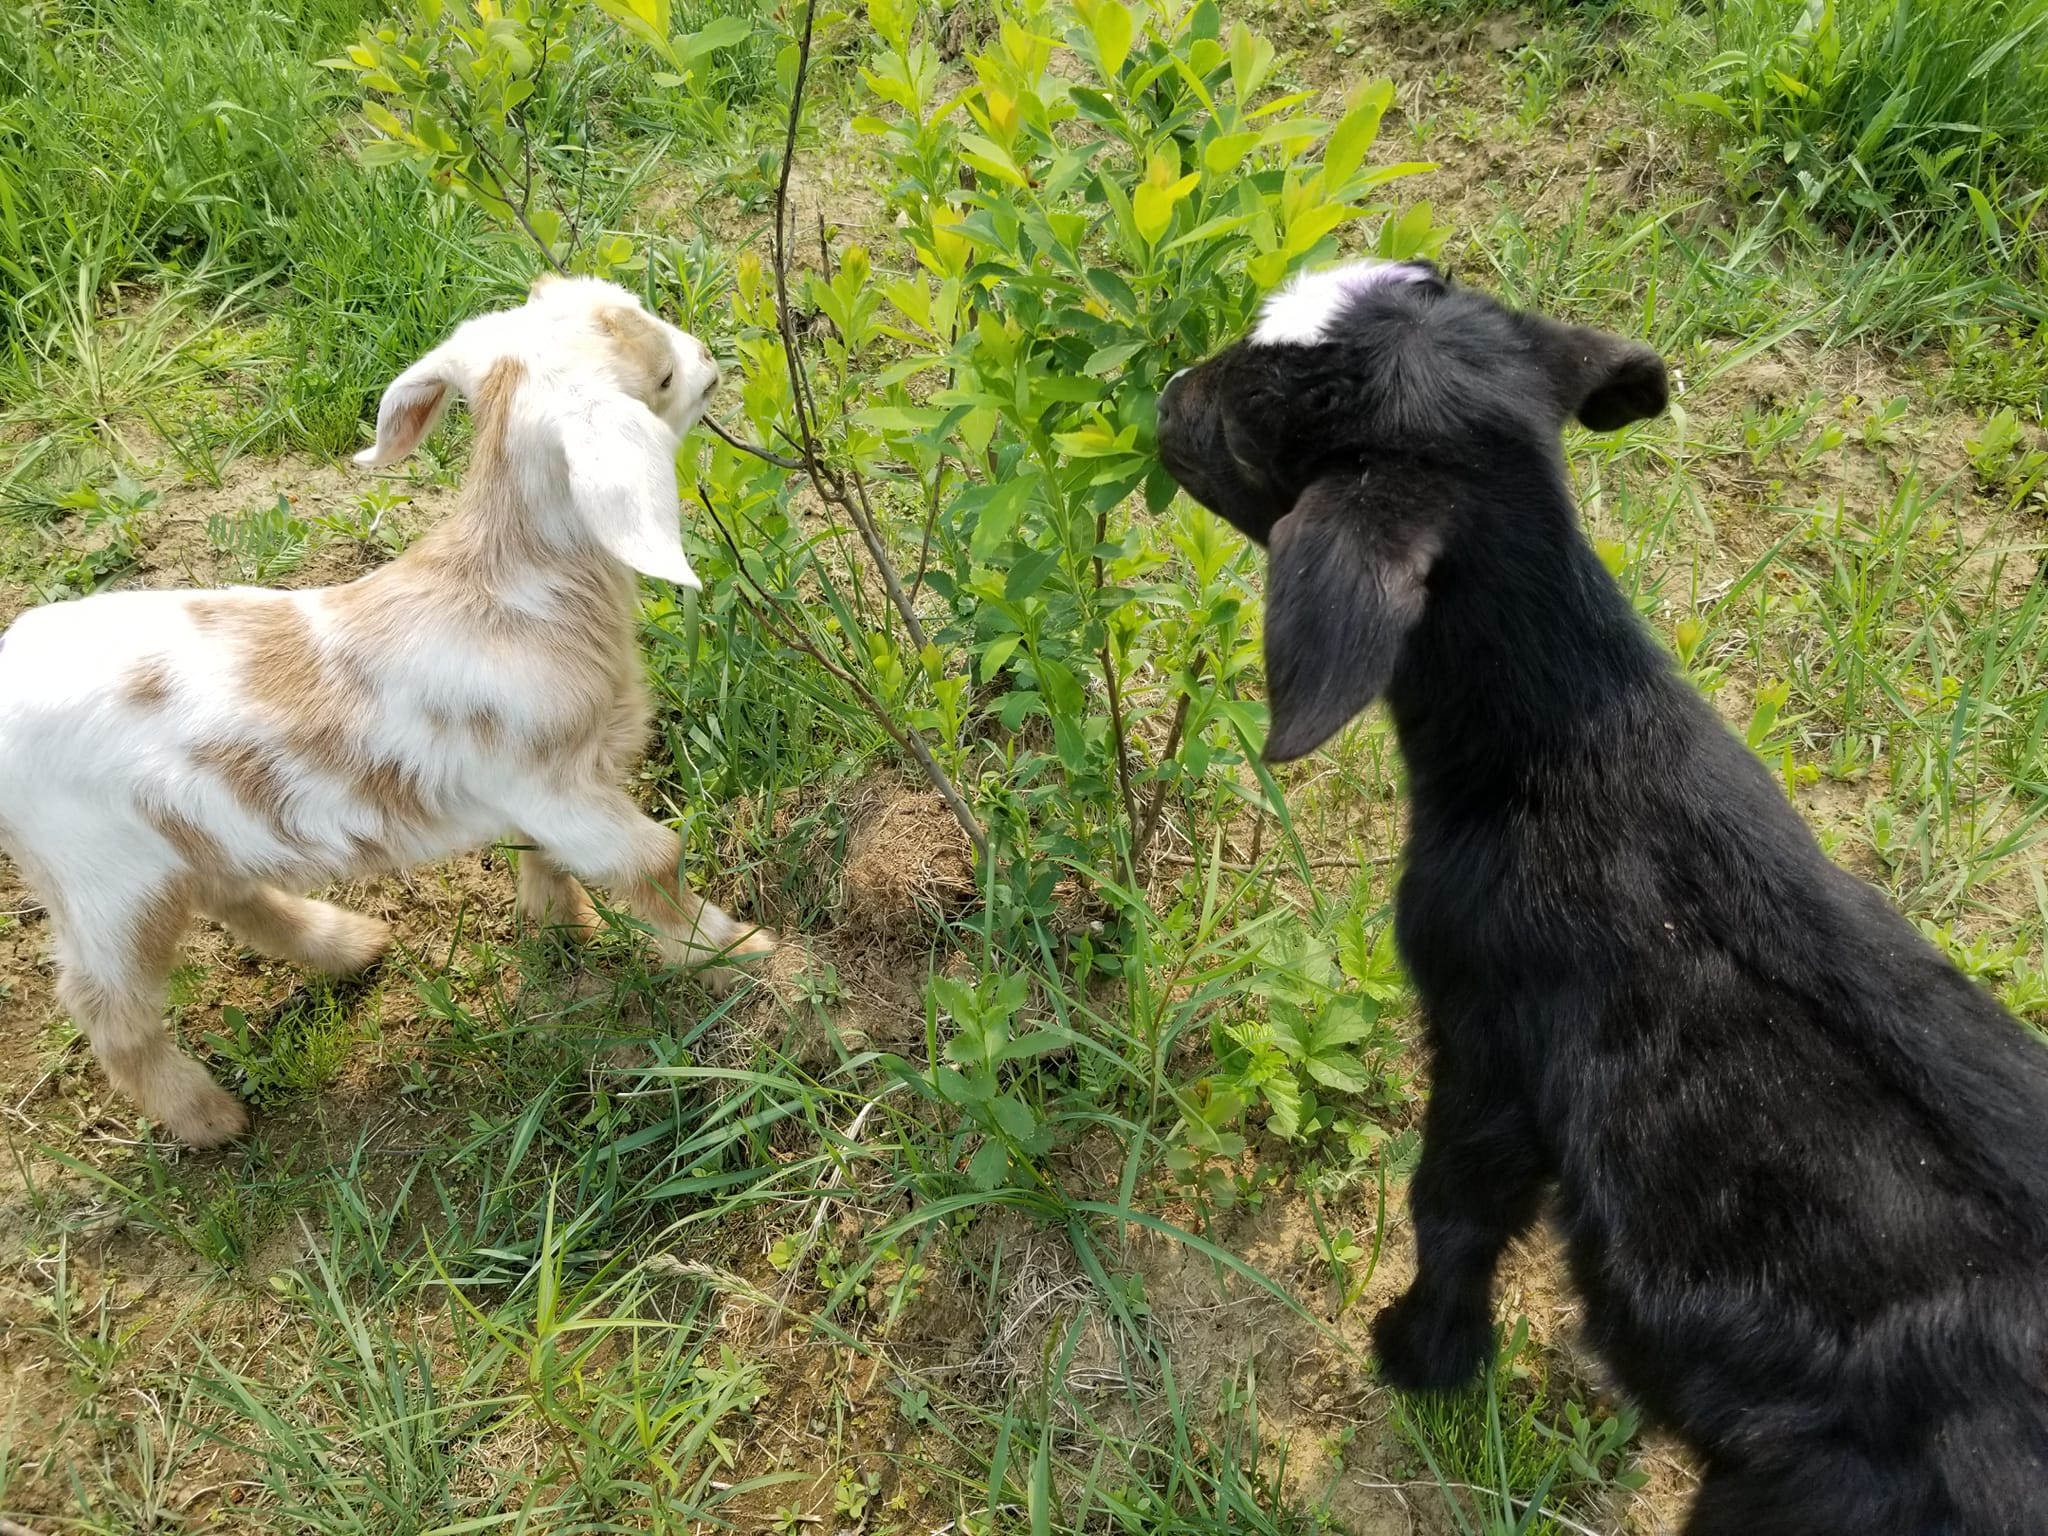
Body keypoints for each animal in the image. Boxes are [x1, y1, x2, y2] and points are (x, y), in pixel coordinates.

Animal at [0, 275, 775, 1148]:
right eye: (663, 380)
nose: (708, 358)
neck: (515, 589)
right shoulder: (554, 787)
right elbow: (652, 860)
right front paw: (736, 950)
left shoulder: (548, 787)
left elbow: (540, 857)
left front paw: (556, 931)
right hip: (101, 878)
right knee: (108, 1006)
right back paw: (208, 1118)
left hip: (181, 838)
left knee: (232, 895)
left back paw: (349, 945)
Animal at [1155, 258, 2048, 1534]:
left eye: (1254, 422)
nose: (1167, 398)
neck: (1564, 740)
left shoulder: (1486, 1035)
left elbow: (1453, 1203)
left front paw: (1418, 1355)